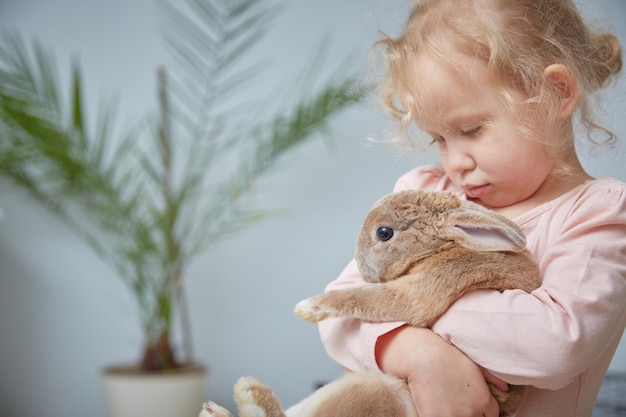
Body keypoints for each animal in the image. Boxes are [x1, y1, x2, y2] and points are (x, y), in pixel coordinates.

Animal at [204, 189, 540, 416]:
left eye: (384, 232)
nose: (362, 269)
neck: (441, 249)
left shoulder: (422, 292)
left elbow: (362, 297)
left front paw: (308, 308)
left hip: (373, 392)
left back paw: (246, 394)